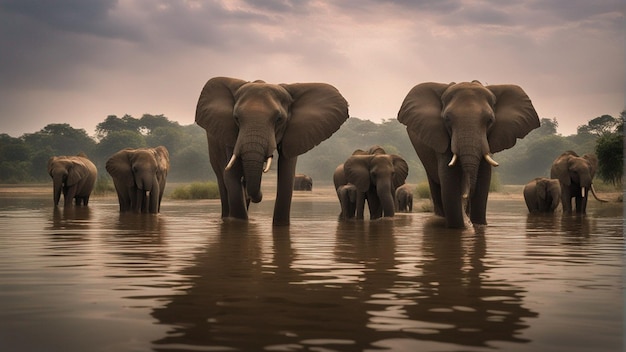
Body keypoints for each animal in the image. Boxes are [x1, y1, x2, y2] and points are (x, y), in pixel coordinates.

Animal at [398, 80, 540, 228]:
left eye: (490, 120)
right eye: (447, 119)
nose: (468, 222)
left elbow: (484, 177)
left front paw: (478, 226)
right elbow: (450, 177)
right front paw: (460, 227)